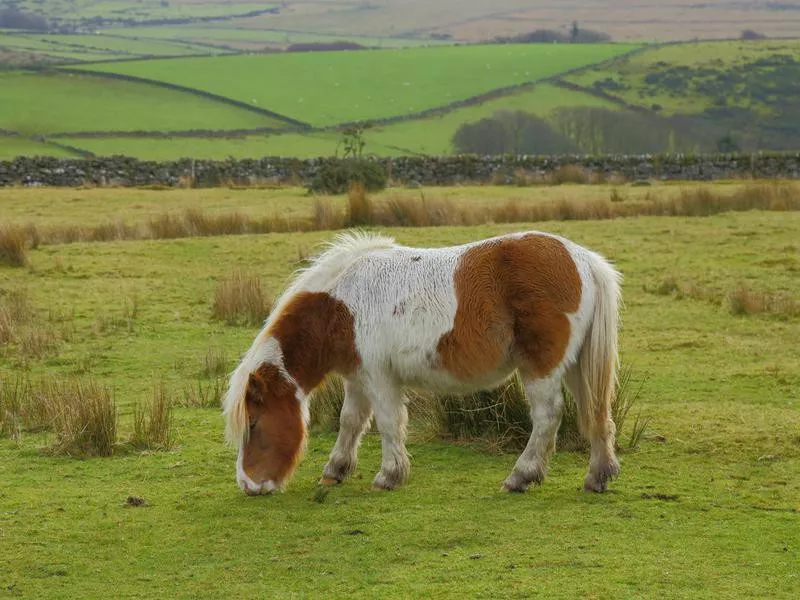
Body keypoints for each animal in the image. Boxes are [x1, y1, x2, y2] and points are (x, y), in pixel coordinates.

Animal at [222, 230, 620, 496]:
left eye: (254, 423)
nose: (248, 484)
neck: (343, 305)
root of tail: (584, 260)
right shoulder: (357, 378)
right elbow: (350, 421)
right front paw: (335, 470)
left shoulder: (379, 377)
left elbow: (387, 423)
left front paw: (389, 475)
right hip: (575, 366)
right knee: (596, 412)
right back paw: (598, 475)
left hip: (542, 367)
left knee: (548, 416)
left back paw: (521, 476)